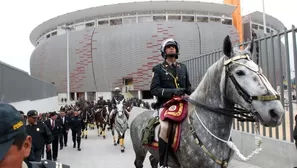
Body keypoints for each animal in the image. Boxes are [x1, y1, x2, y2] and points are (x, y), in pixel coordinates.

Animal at [130, 34, 284, 167]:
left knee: (153, 160)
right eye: (240, 72)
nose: (276, 112)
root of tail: (137, 118)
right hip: (139, 152)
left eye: (260, 70)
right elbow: (156, 88)